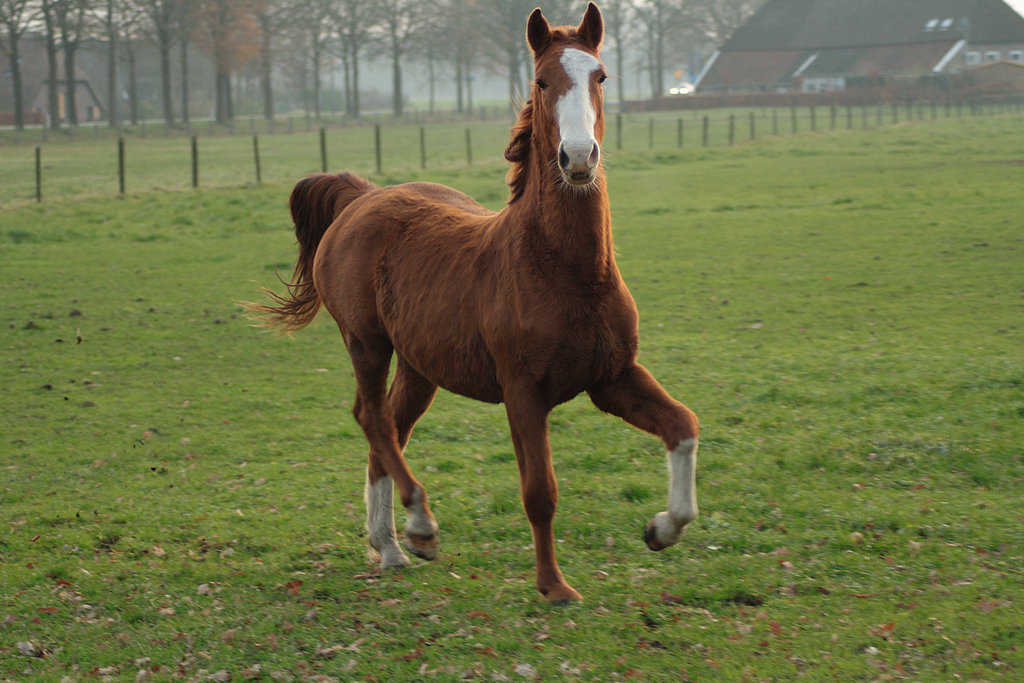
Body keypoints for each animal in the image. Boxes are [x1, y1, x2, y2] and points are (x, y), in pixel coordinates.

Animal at [249, 3, 696, 602]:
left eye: (601, 76)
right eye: (541, 80)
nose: (579, 158)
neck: (566, 273)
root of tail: (361, 197)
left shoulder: (612, 376)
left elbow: (682, 426)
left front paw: (662, 528)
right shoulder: (523, 393)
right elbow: (540, 492)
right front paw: (554, 587)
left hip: (419, 366)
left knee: (389, 427)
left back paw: (390, 548)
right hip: (366, 342)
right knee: (371, 417)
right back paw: (420, 529)